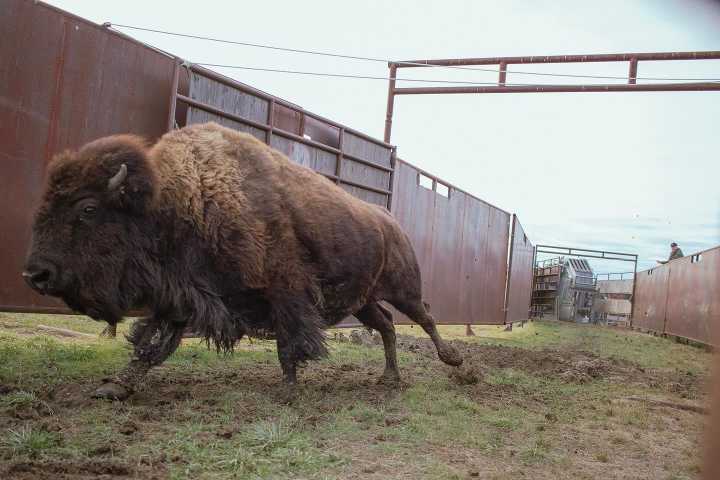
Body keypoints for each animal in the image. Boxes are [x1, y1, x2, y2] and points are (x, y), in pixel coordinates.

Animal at [23, 122, 462, 400]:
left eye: (88, 209)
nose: (35, 273)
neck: (181, 200)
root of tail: (391, 221)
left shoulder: (285, 292)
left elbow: (290, 343)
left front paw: (288, 391)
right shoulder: (180, 294)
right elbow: (151, 344)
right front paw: (114, 386)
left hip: (403, 288)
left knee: (424, 317)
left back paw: (455, 362)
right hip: (364, 301)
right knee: (386, 326)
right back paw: (389, 378)